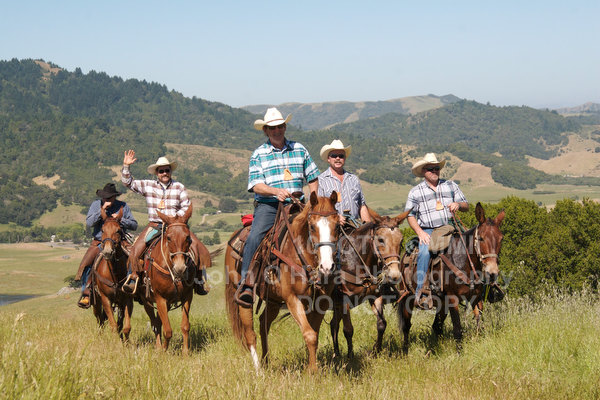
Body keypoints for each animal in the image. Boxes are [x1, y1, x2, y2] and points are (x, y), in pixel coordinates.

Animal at [91, 207, 134, 341]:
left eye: (118, 230)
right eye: (102, 230)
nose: (108, 252)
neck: (115, 274)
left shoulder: (127, 300)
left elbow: (125, 327)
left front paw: (126, 342)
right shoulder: (105, 299)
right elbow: (113, 325)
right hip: (96, 302)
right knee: (100, 320)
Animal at [135, 204, 200, 355]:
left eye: (188, 237)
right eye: (169, 238)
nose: (180, 267)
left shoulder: (187, 297)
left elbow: (185, 326)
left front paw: (185, 352)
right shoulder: (160, 299)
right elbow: (168, 330)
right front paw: (163, 350)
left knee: (158, 322)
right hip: (147, 301)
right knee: (155, 323)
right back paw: (158, 347)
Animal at [225, 192, 340, 371]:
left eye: (337, 226)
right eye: (312, 227)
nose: (327, 266)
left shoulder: (321, 302)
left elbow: (314, 334)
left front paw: (312, 369)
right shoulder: (293, 299)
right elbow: (310, 335)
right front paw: (313, 372)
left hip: (273, 300)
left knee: (263, 323)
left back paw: (266, 362)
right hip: (243, 294)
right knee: (250, 333)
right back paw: (259, 370)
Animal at [330, 208, 410, 358]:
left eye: (401, 240)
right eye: (380, 240)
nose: (394, 275)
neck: (356, 261)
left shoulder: (375, 295)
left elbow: (382, 324)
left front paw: (376, 351)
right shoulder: (344, 300)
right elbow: (348, 329)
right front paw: (351, 357)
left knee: (333, 325)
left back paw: (336, 354)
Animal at [397, 202, 505, 353]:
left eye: (501, 238)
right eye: (481, 238)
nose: (492, 273)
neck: (463, 261)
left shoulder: (475, 297)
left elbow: (479, 324)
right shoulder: (453, 299)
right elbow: (457, 329)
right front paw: (460, 354)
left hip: (441, 303)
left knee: (436, 326)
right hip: (408, 299)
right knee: (406, 327)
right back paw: (405, 352)